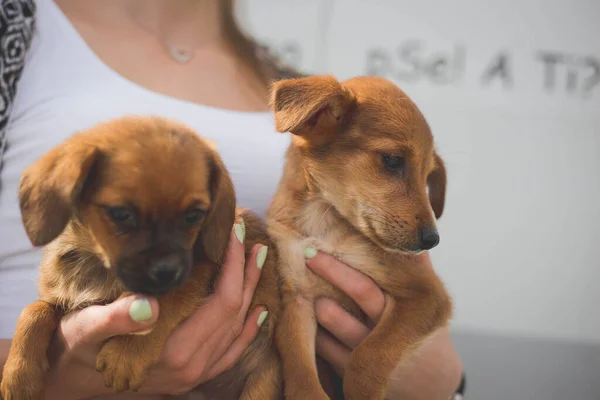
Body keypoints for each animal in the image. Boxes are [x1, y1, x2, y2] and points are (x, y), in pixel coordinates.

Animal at [0, 115, 284, 400]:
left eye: (194, 215)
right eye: (121, 214)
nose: (167, 271)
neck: (96, 264)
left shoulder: (196, 270)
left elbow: (162, 301)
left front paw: (126, 351)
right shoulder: (59, 300)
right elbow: (34, 310)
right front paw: (18, 375)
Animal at [266, 76, 450, 400]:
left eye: (427, 176)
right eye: (392, 160)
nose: (432, 240)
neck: (323, 221)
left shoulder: (426, 293)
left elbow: (367, 357)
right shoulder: (296, 295)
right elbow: (302, 376)